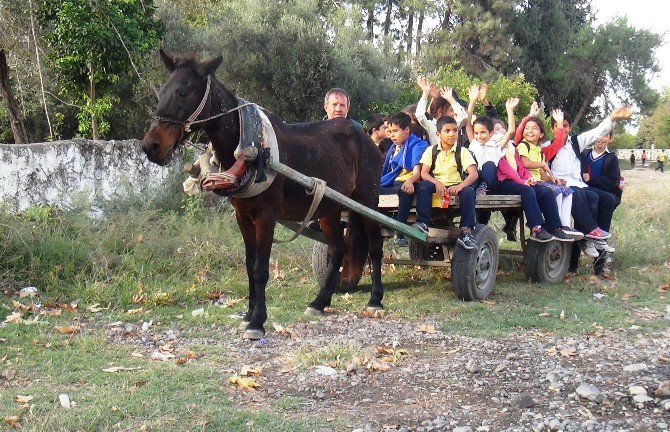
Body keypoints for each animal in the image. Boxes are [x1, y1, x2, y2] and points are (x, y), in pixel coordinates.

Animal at [140, 50, 388, 340]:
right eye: (162, 92)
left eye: (183, 92)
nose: (151, 146)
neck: (252, 145)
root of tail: (365, 137)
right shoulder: (243, 216)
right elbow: (249, 264)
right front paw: (248, 315)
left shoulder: (266, 217)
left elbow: (260, 268)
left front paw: (257, 321)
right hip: (329, 205)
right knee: (338, 248)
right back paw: (319, 302)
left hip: (367, 200)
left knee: (375, 246)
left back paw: (375, 299)